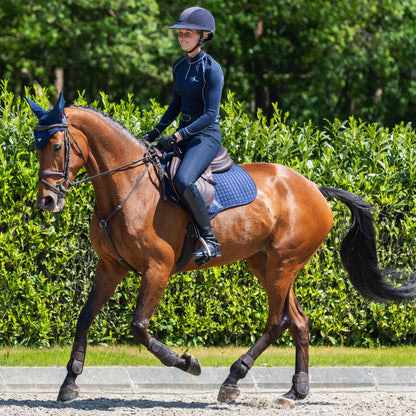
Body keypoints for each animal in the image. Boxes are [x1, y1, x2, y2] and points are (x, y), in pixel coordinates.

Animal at [27, 96, 414, 404]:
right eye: (36, 146)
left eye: (57, 146)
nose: (47, 201)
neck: (125, 188)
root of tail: (314, 187)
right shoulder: (110, 267)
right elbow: (85, 317)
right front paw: (69, 383)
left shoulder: (157, 268)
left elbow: (139, 326)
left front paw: (187, 363)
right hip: (265, 264)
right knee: (298, 321)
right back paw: (295, 390)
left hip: (283, 264)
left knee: (278, 321)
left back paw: (232, 379)